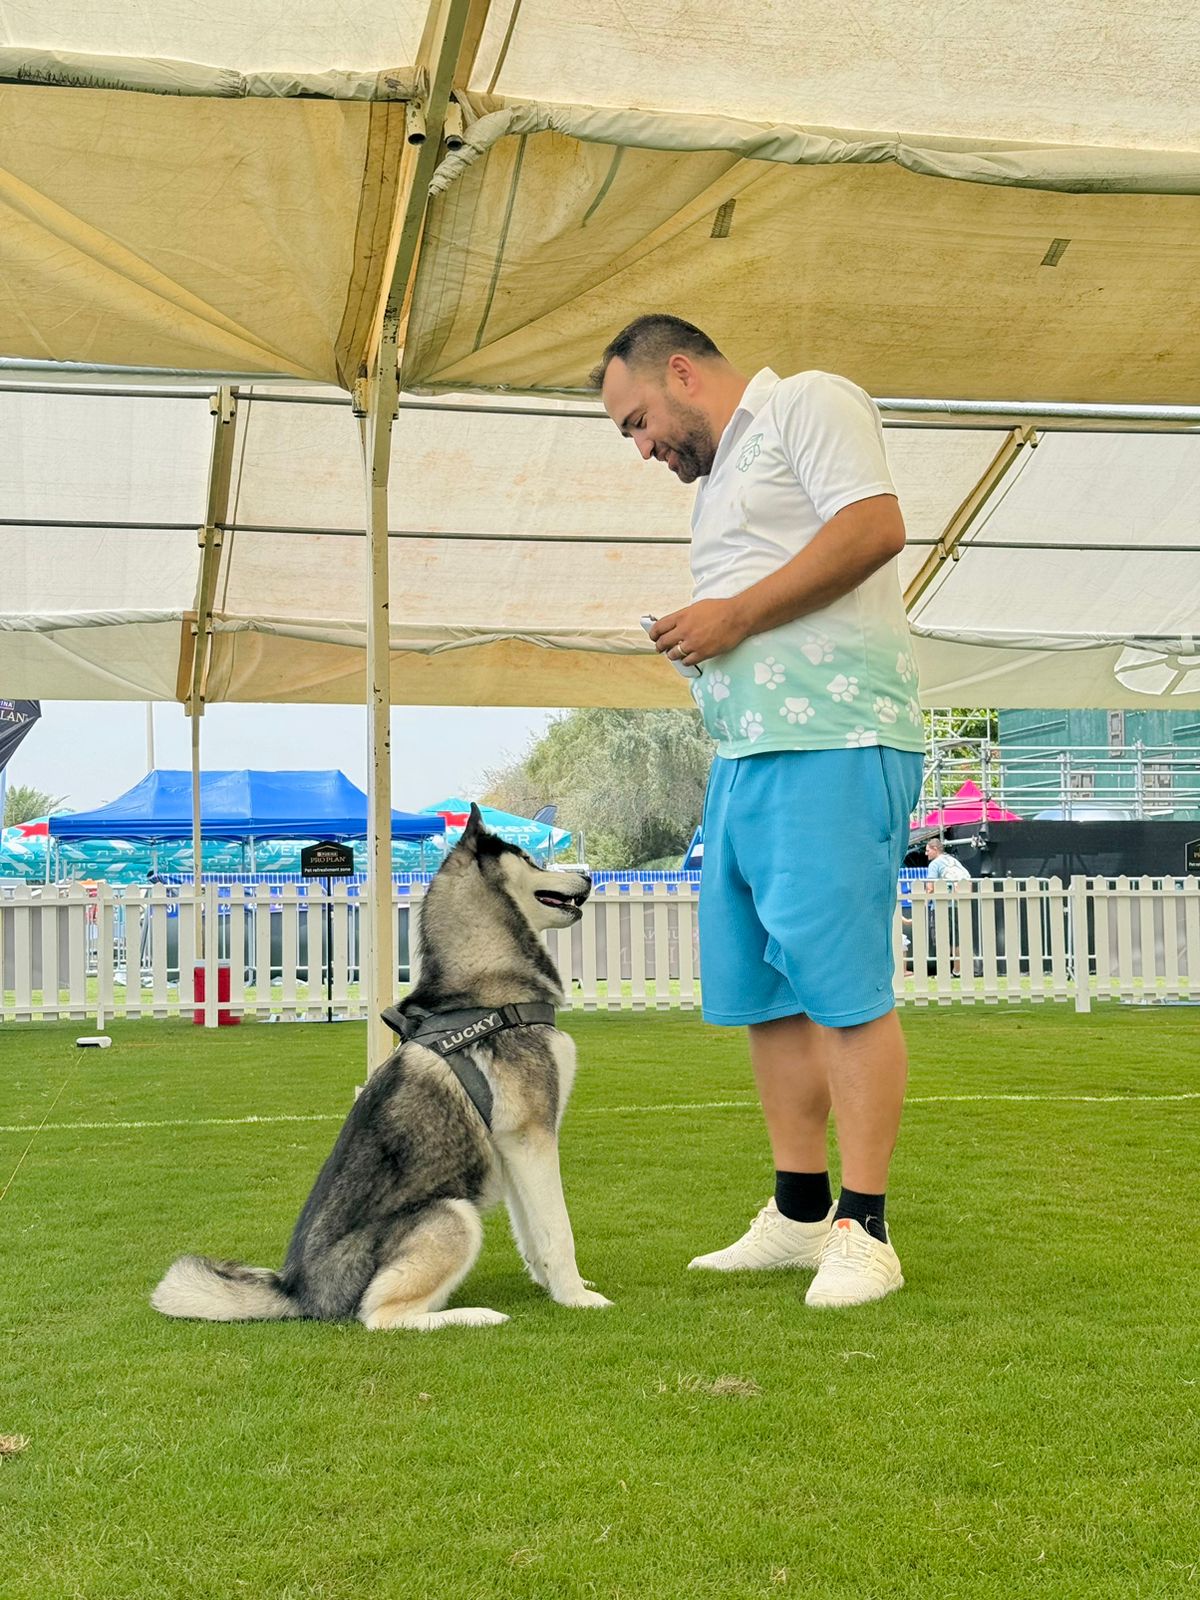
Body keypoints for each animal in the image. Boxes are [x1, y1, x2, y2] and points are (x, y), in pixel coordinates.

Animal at [151, 806, 614, 1331]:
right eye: (530, 858)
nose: (589, 876)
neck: (489, 989)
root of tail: (298, 1291)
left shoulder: (513, 1145)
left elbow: (533, 1232)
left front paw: (550, 1287)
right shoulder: (531, 1135)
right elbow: (559, 1229)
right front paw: (577, 1297)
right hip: (453, 1213)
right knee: (379, 1316)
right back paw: (472, 1315)